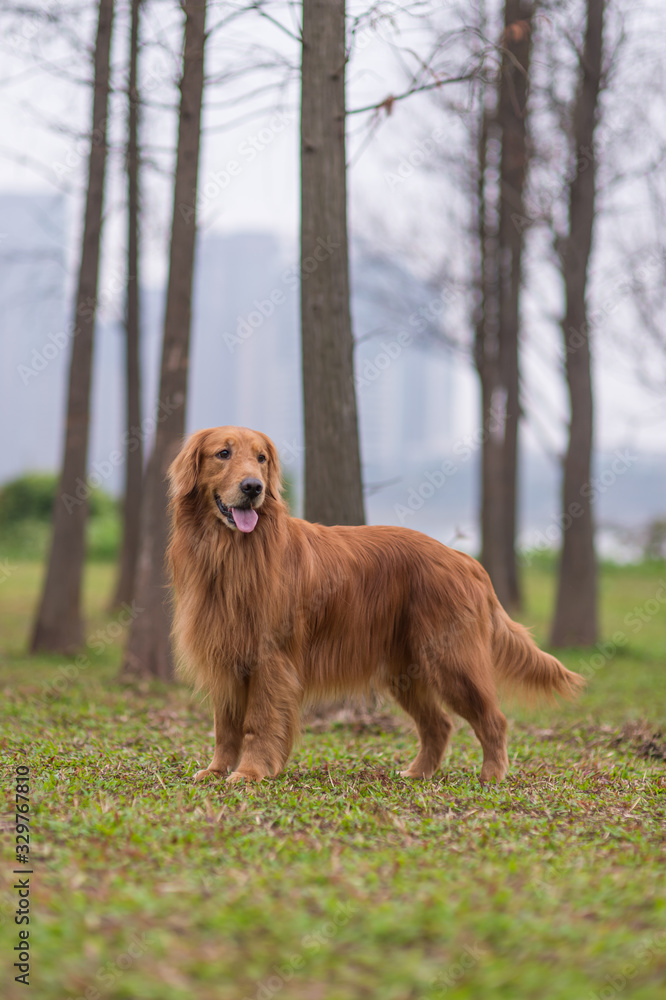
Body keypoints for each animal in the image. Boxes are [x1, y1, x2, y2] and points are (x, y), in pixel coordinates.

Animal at [167, 426, 580, 784]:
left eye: (261, 458)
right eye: (223, 453)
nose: (253, 487)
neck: (232, 554)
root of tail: (466, 560)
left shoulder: (270, 659)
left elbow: (258, 723)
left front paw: (250, 773)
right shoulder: (227, 657)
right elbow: (225, 727)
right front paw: (217, 770)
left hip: (452, 660)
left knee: (493, 719)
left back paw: (491, 775)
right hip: (405, 670)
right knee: (439, 724)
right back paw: (417, 773)